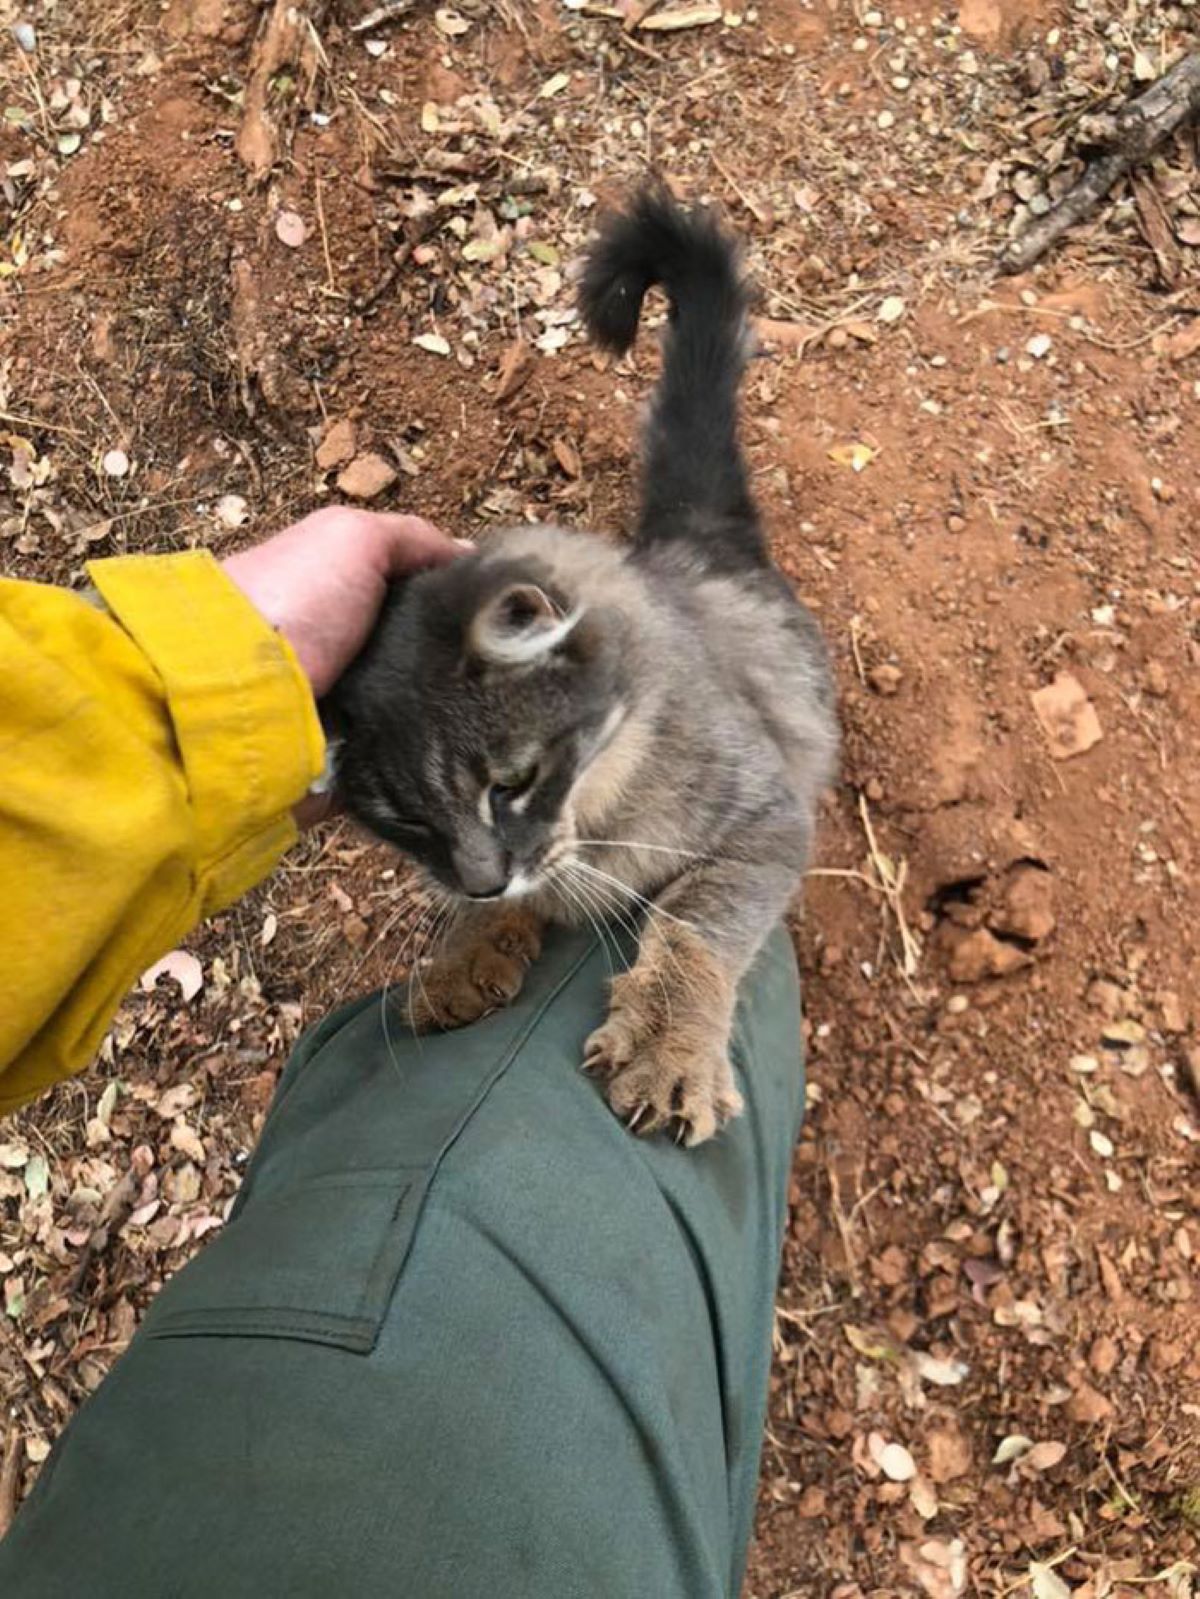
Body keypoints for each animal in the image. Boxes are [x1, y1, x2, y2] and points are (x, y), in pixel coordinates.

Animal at [324, 187, 838, 1144]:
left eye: (512, 781)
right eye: (404, 821)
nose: (483, 879)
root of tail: (693, 535)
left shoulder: (767, 819)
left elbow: (695, 920)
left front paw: (669, 1045)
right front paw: (465, 957)